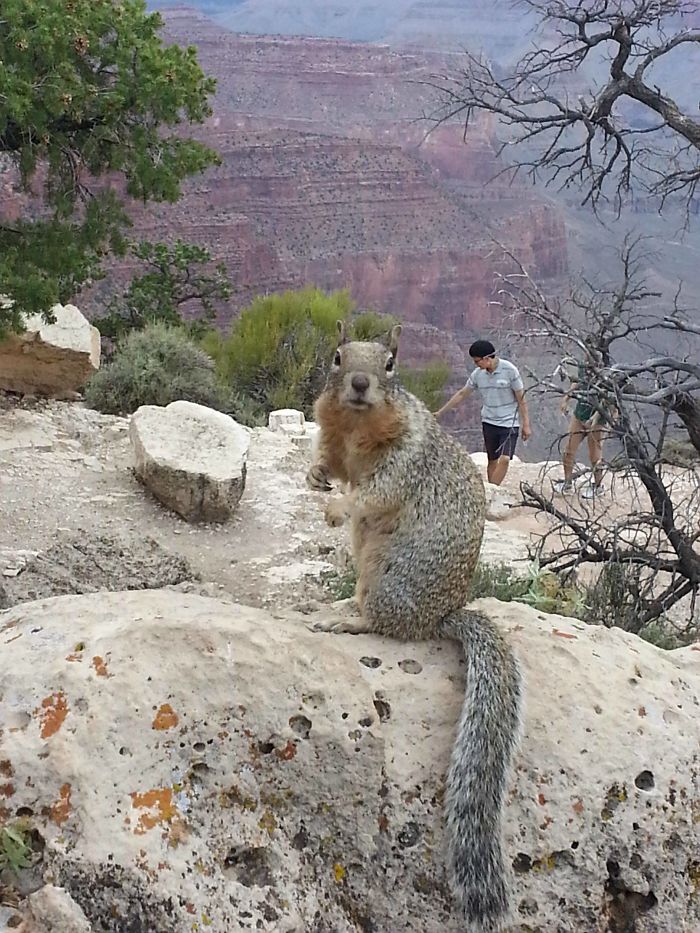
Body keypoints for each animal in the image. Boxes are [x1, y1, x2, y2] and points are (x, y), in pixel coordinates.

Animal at [307, 322, 523, 931]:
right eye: (337, 357)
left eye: (391, 363)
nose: (359, 384)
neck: (358, 427)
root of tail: (442, 615)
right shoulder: (331, 438)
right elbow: (329, 465)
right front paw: (316, 478)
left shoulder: (406, 462)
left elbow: (372, 492)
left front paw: (338, 508)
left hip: (388, 575)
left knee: (384, 626)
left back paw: (344, 620)